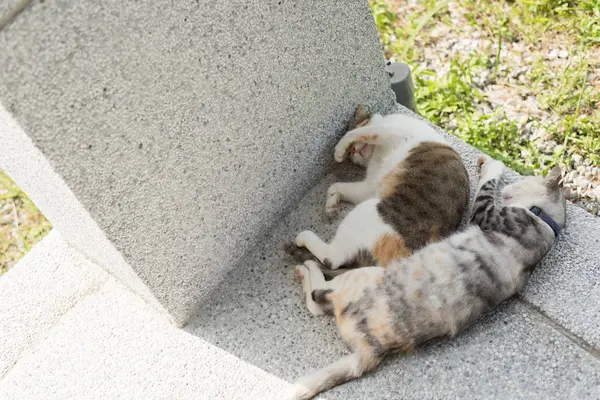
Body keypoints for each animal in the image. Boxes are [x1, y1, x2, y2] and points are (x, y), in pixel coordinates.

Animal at [284, 105, 468, 276]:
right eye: (351, 154)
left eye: (359, 123)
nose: (352, 150)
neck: (377, 154)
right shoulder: (368, 187)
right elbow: (334, 186)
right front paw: (331, 205)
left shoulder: (389, 132)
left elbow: (359, 132)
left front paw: (338, 151)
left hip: (368, 210)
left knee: (332, 259)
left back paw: (303, 237)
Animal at [286, 156, 568, 400]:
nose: (511, 185)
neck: (547, 225)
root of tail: (373, 350)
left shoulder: (487, 213)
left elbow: (487, 185)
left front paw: (493, 167)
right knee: (319, 299)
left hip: (364, 273)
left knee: (321, 285)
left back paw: (306, 262)